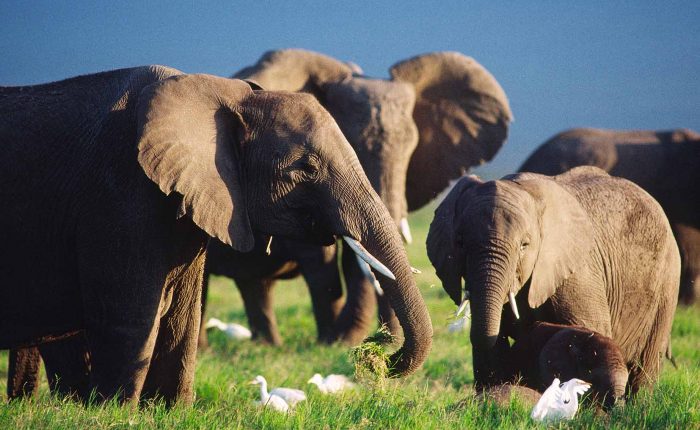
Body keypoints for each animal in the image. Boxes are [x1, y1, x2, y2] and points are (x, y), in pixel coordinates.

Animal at [0, 65, 432, 404]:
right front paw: (111, 413)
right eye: (307, 168)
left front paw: (167, 410)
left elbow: (182, 316)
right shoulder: (120, 191)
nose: (377, 357)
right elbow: (131, 317)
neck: (226, 95)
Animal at [198, 49, 512, 347]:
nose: (386, 342)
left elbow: (353, 258)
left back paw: (267, 345)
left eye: (411, 147)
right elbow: (322, 262)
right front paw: (330, 342)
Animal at [426, 166, 680, 396]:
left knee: (646, 365)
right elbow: (490, 348)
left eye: (524, 245)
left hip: (667, 284)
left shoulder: (578, 275)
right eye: (460, 242)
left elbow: (592, 332)